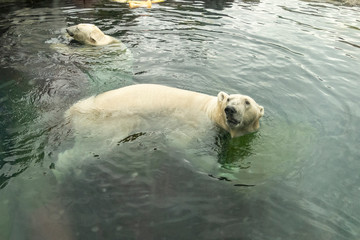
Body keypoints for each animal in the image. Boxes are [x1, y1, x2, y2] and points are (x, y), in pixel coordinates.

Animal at [67, 84, 264, 138]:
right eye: (229, 99)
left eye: (247, 102)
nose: (230, 110)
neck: (210, 111)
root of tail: (73, 110)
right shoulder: (197, 124)